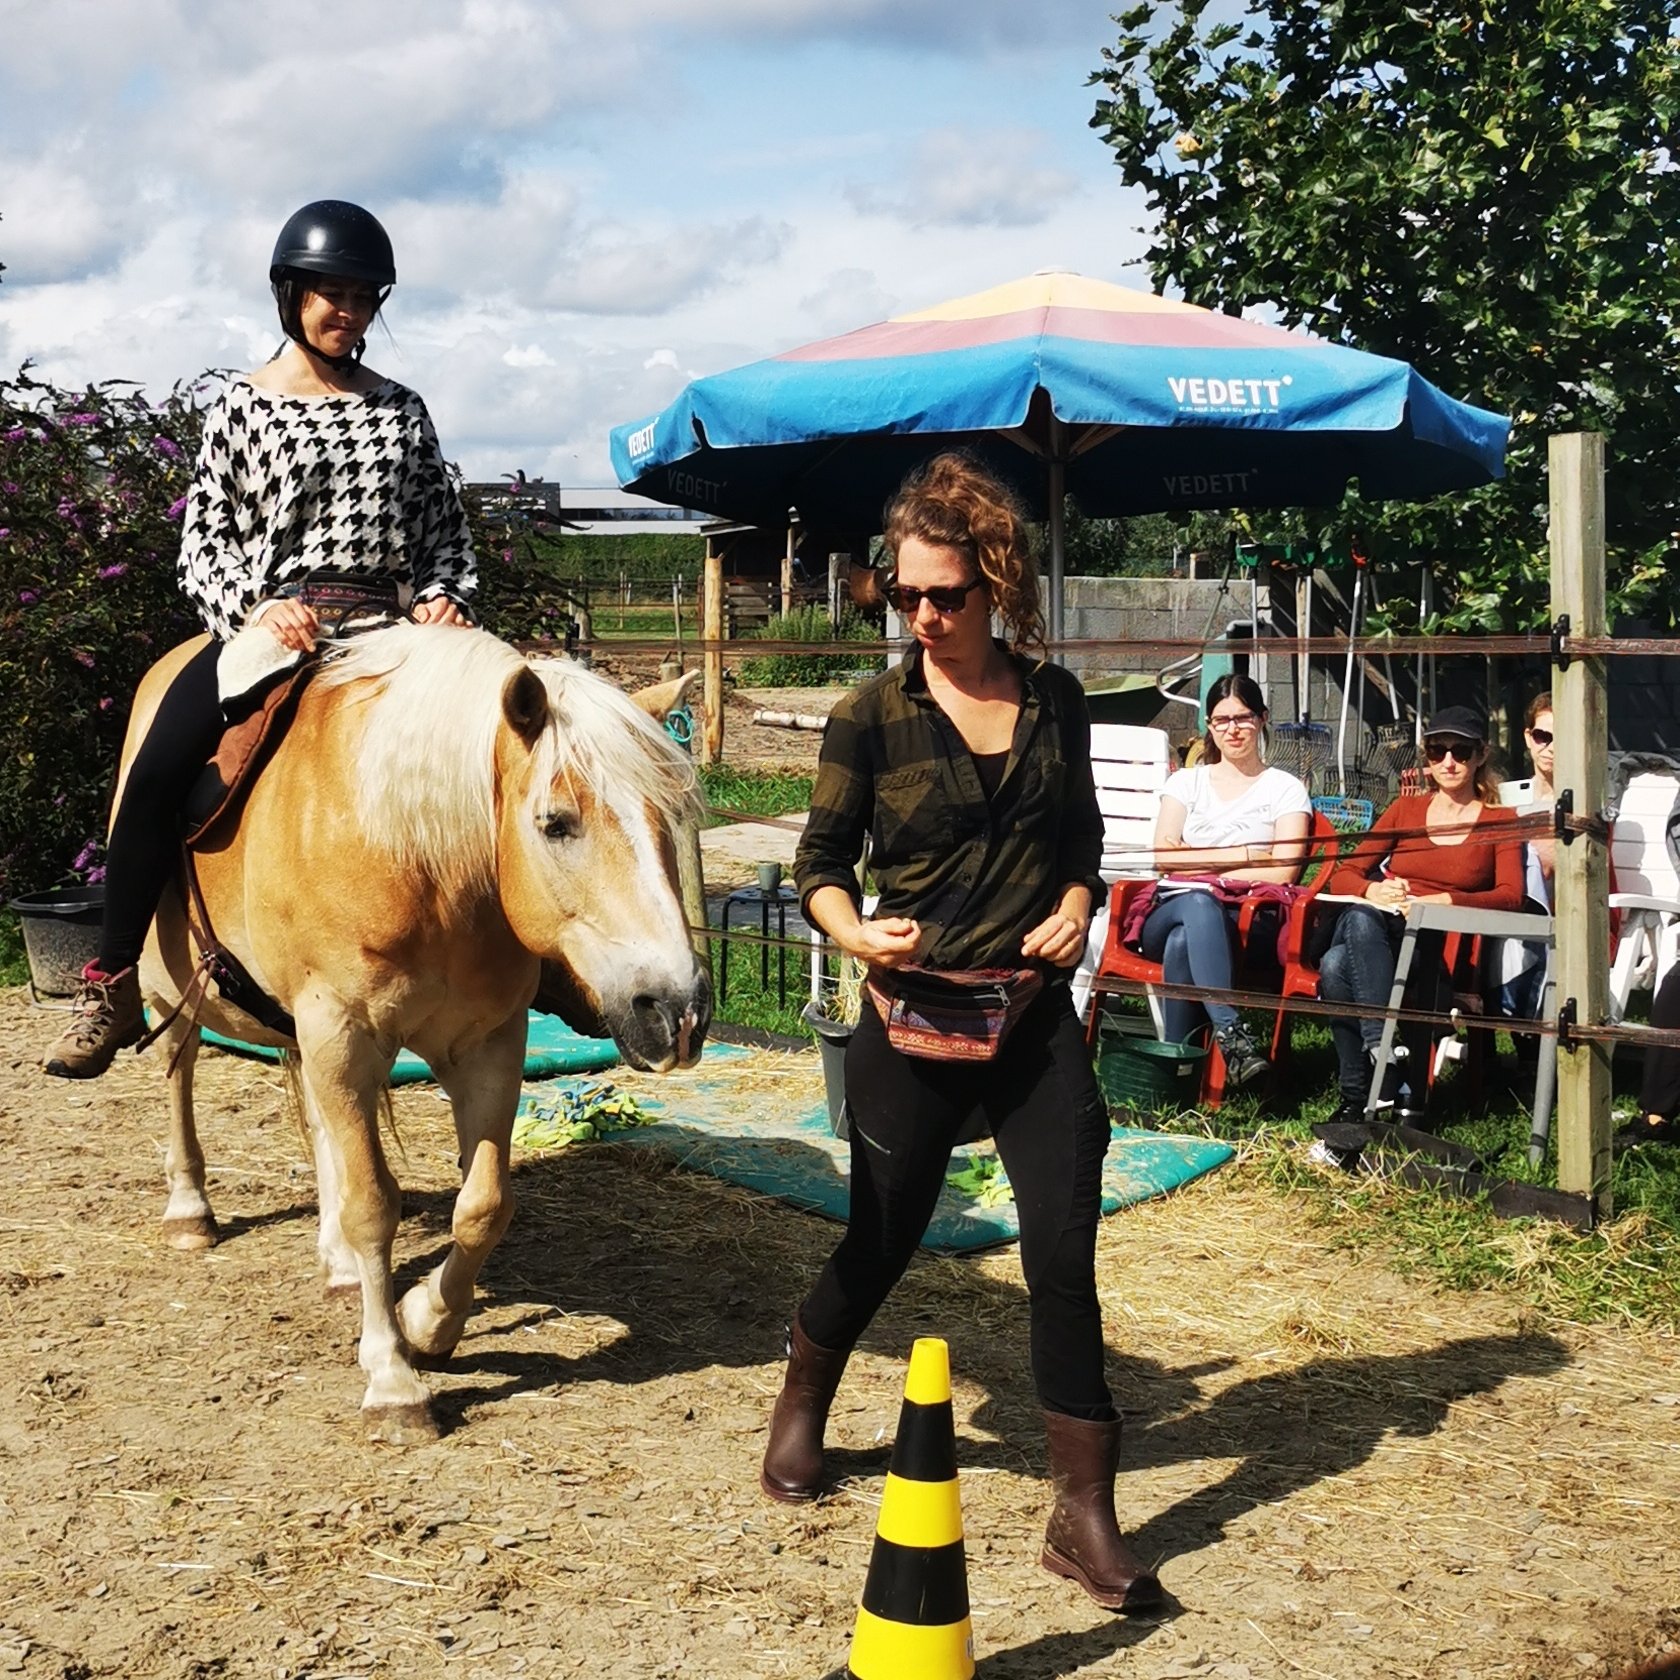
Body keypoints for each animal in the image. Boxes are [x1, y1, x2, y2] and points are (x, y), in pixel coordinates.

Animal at [121, 628, 712, 1444]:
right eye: (556, 822)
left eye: (669, 819)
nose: (677, 1010)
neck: (413, 853)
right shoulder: (341, 1030)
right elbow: (376, 1203)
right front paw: (393, 1377)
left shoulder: (486, 1045)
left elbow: (483, 1204)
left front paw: (429, 1322)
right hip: (177, 989)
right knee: (179, 1073)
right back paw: (189, 1209)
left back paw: (338, 1264)